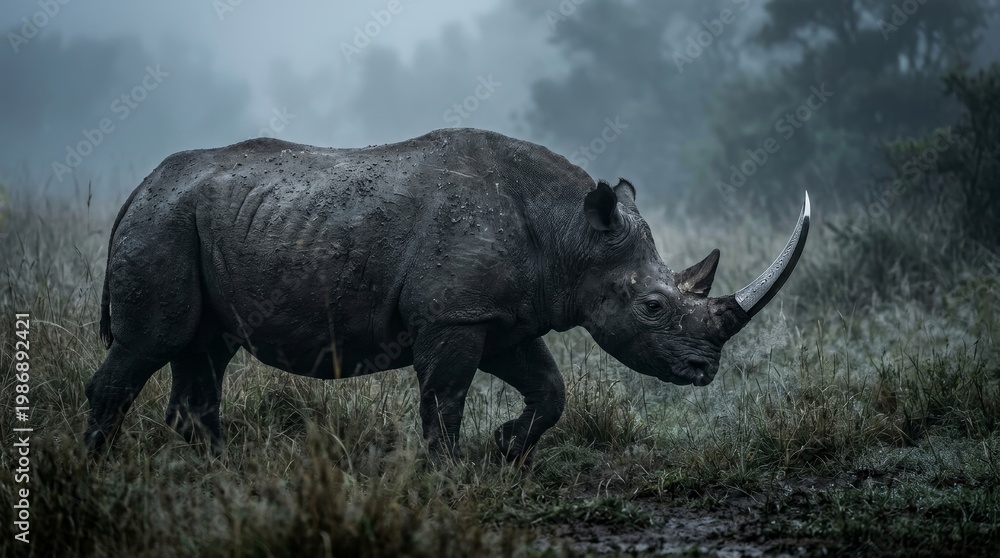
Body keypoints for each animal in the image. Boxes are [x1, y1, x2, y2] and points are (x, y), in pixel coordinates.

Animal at [85, 128, 810, 464]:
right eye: (654, 308)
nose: (704, 370)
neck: (570, 232)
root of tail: (140, 187)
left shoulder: (501, 315)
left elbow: (549, 389)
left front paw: (504, 448)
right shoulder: (453, 316)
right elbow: (444, 399)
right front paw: (451, 472)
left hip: (193, 221)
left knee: (203, 351)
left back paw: (213, 470)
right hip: (164, 223)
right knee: (155, 343)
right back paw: (102, 469)